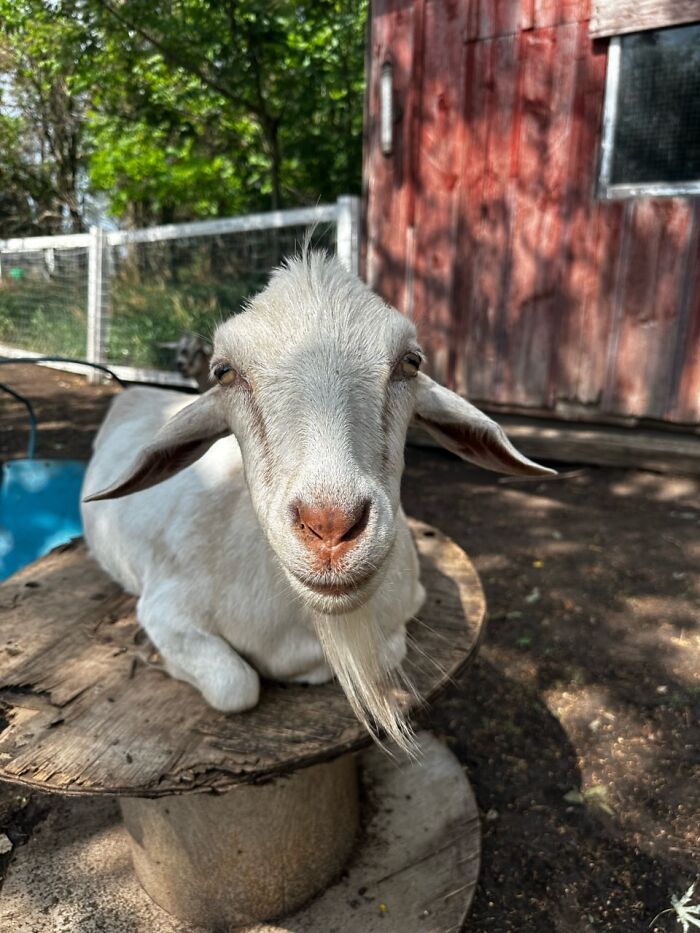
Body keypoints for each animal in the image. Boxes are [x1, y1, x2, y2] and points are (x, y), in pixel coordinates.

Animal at [82, 251, 554, 752]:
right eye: (224, 372)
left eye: (410, 361)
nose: (330, 527)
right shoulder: (164, 608)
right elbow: (237, 686)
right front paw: (155, 658)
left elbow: (389, 650)